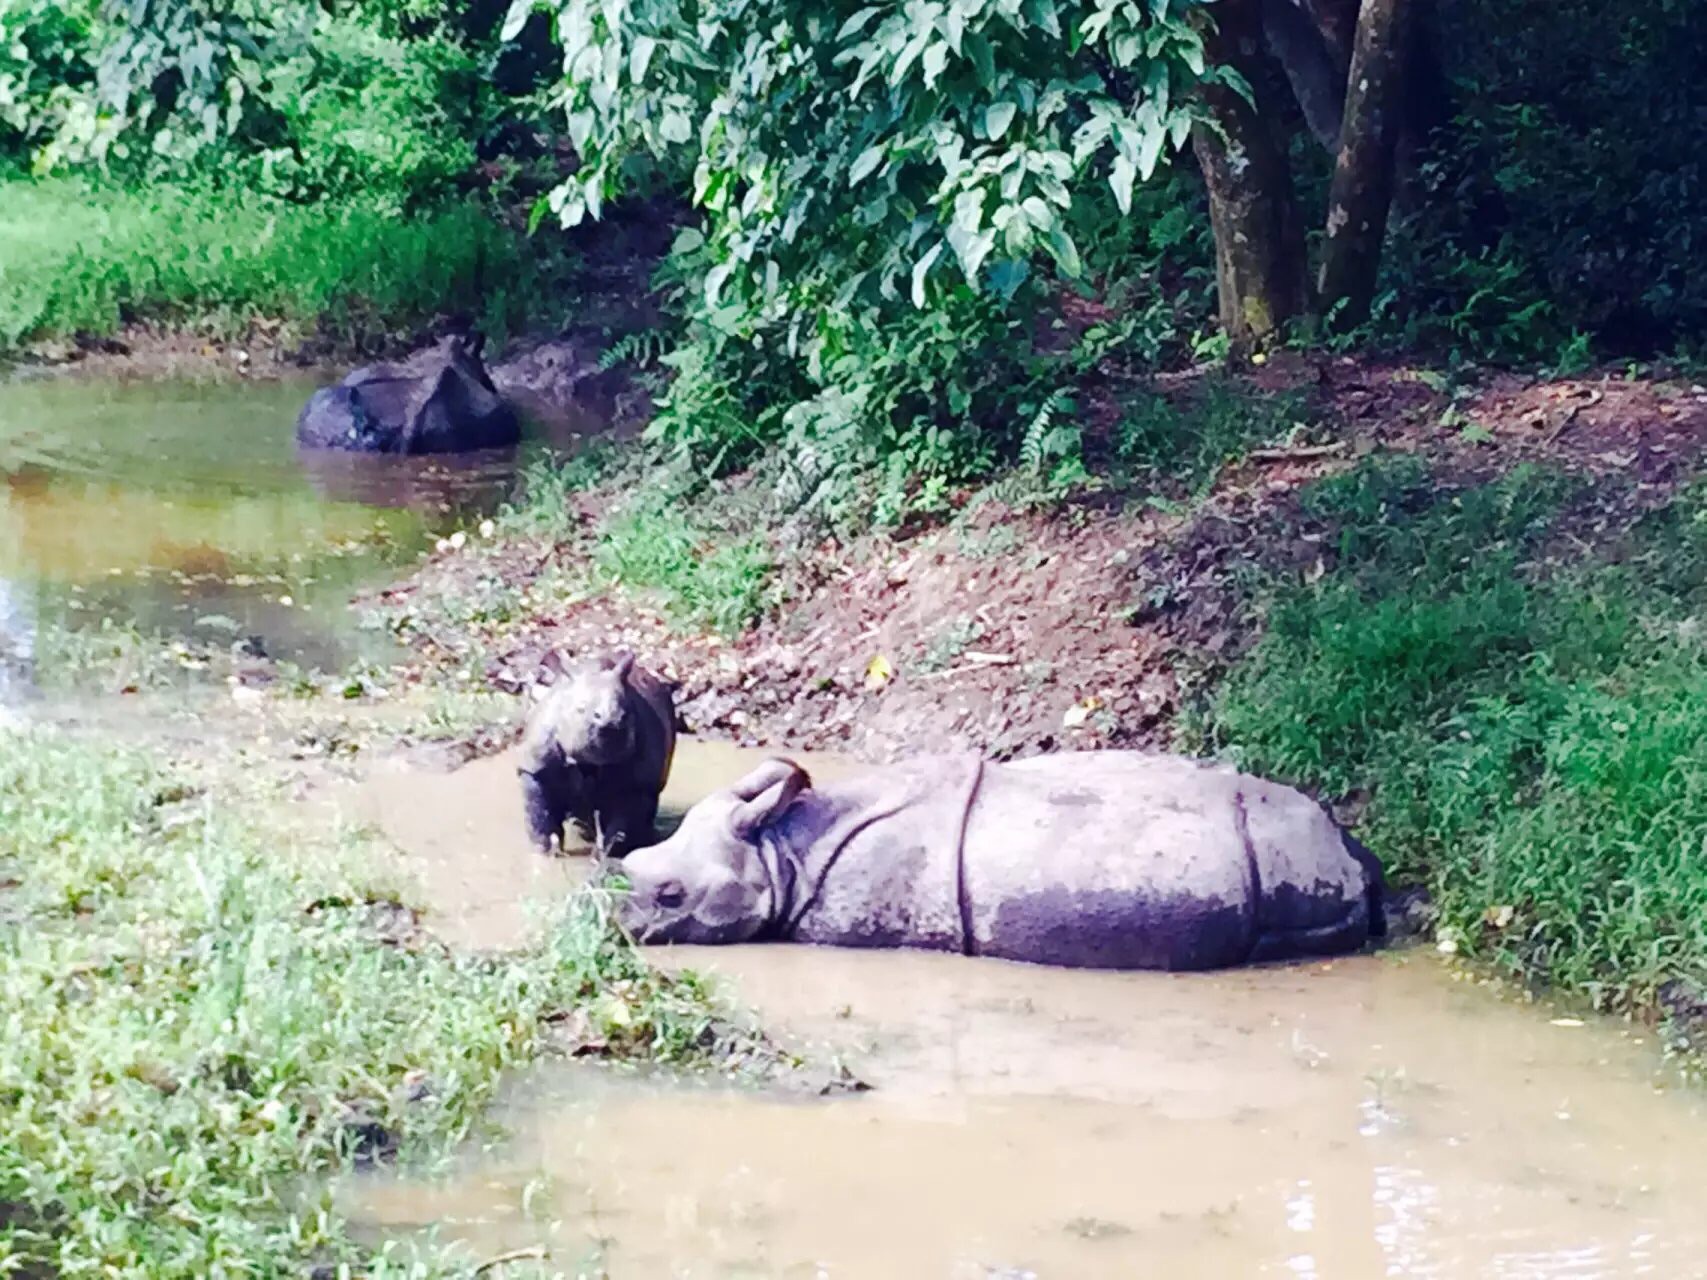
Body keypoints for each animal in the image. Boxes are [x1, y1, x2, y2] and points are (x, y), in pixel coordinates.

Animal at [515, 655, 675, 856]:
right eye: (580, 709)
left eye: (625, 715)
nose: (611, 722)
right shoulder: (536, 764)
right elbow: (539, 813)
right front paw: (546, 852)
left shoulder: (641, 780)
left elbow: (622, 825)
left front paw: (606, 855)